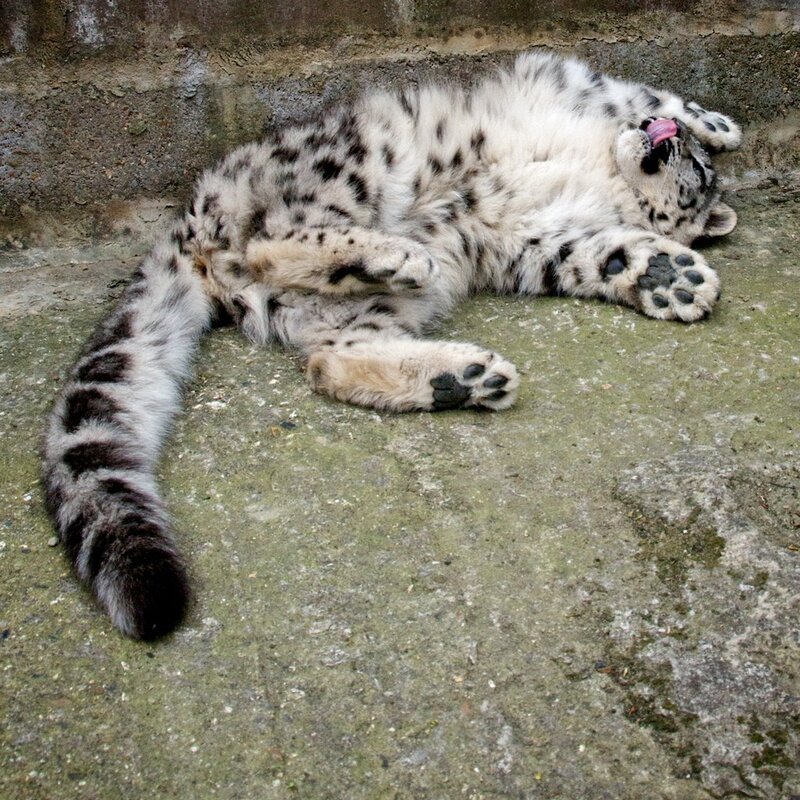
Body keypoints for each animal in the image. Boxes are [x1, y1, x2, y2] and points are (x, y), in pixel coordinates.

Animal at [42, 50, 741, 639]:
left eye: (695, 172)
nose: (664, 138)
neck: (604, 170)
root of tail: (196, 226)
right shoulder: (567, 76)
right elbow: (643, 88)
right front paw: (714, 123)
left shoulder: (549, 237)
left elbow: (609, 253)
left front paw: (670, 276)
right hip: (343, 168)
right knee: (273, 239)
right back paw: (397, 256)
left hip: (346, 309)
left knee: (326, 357)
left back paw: (459, 375)